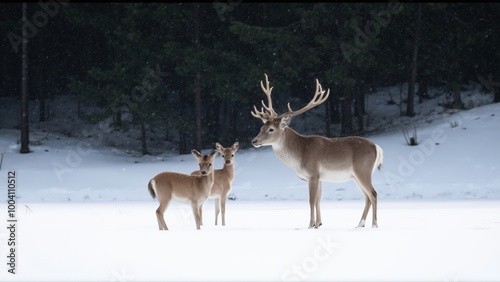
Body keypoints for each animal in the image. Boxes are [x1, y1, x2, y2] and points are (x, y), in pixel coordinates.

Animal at [250, 74, 382, 229]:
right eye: (261, 128)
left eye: (271, 129)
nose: (254, 141)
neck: (299, 155)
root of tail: (376, 147)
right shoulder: (319, 177)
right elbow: (318, 200)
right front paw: (319, 223)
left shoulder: (312, 174)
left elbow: (311, 200)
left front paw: (310, 224)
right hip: (356, 176)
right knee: (367, 196)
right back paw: (360, 224)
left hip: (363, 170)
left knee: (373, 194)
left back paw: (374, 225)